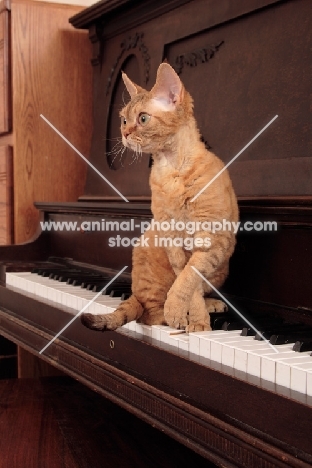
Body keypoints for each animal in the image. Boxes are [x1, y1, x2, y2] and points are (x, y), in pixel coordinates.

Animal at [81, 63, 239, 332]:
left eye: (143, 119)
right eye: (124, 119)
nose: (124, 133)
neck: (170, 169)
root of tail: (133, 293)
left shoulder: (212, 237)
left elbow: (189, 278)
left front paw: (191, 317)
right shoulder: (170, 235)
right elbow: (187, 283)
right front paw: (189, 319)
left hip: (221, 268)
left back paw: (210, 305)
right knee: (150, 314)